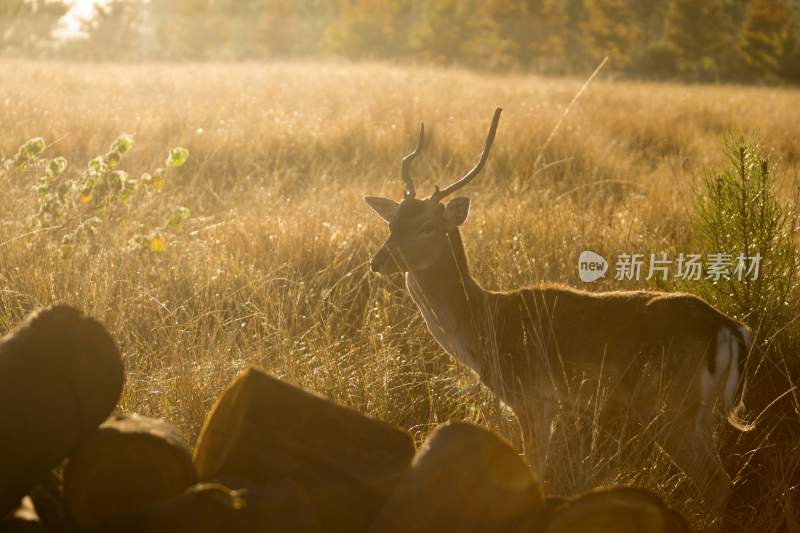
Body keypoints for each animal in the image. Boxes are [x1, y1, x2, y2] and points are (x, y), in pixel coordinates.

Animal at [366, 107, 752, 512]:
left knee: (716, 482)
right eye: (392, 222)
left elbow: (532, 468)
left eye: (427, 226)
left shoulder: (531, 396)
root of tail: (729, 327)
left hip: (670, 407)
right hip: (701, 414)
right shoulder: (550, 403)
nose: (379, 261)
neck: (484, 323)